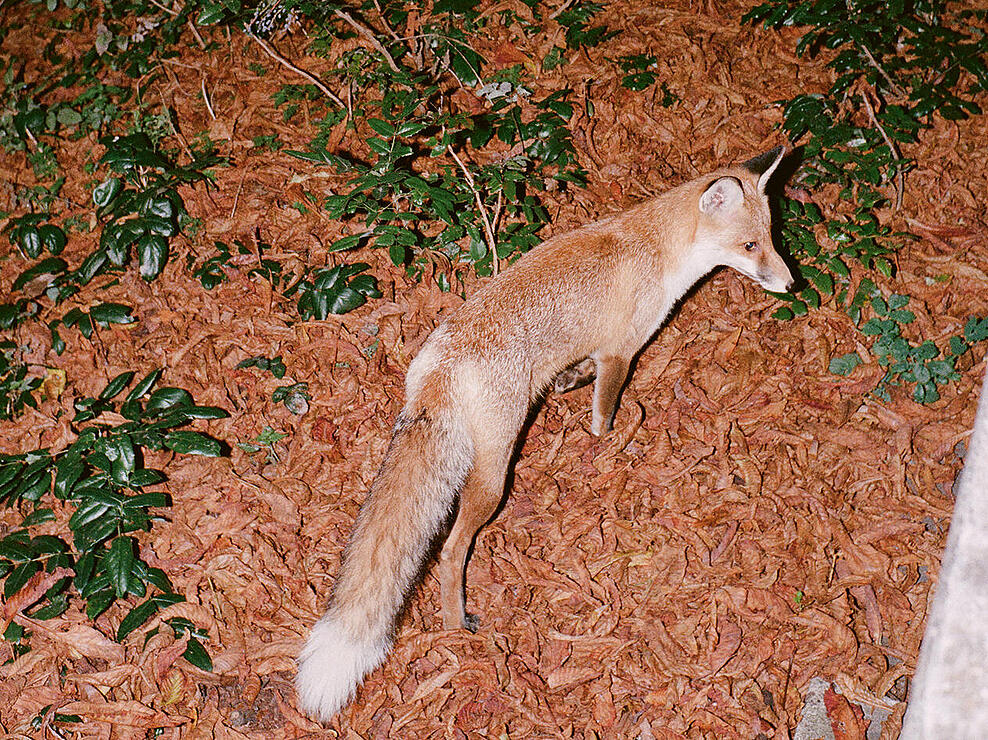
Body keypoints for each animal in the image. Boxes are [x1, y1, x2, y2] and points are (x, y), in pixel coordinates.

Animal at [294, 147, 796, 720]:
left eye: (773, 236)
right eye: (750, 246)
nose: (791, 285)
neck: (658, 250)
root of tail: (440, 365)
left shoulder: (596, 352)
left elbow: (577, 376)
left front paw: (566, 383)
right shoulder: (620, 353)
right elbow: (605, 417)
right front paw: (608, 446)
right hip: (493, 478)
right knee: (450, 549)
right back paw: (455, 627)